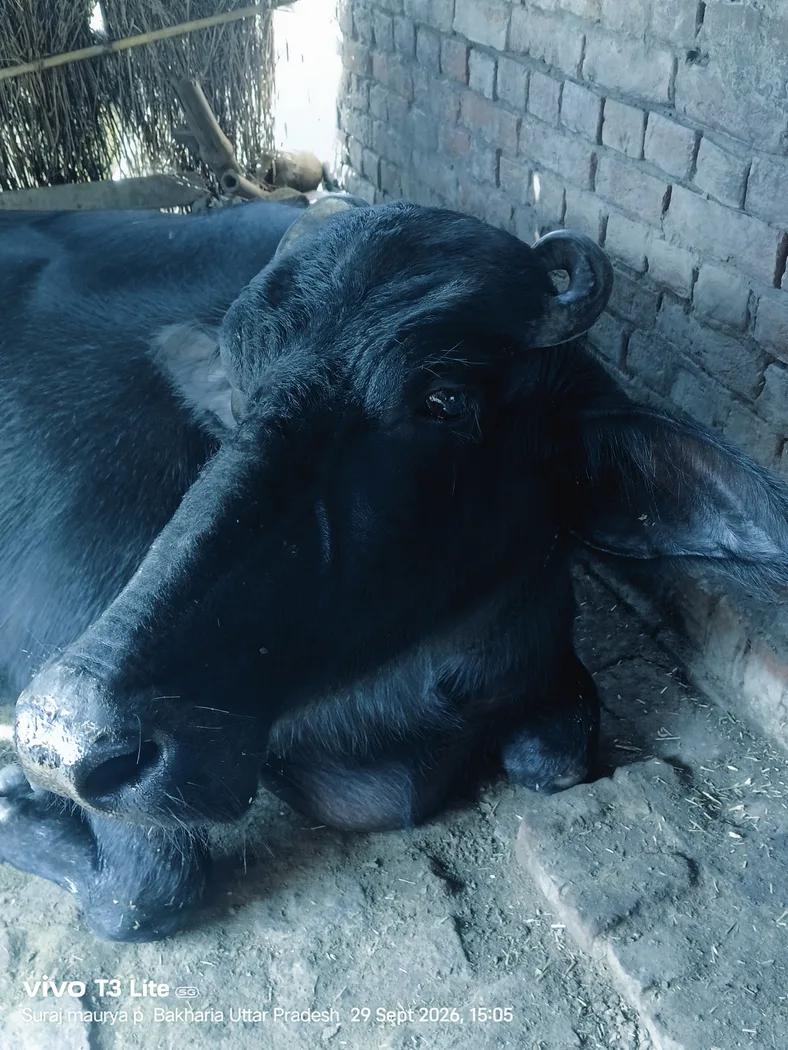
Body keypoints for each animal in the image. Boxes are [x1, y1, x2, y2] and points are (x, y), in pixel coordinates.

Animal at [1, 196, 787, 942]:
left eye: (444, 399)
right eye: (241, 389)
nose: (61, 736)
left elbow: (554, 759)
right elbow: (148, 887)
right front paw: (16, 803)